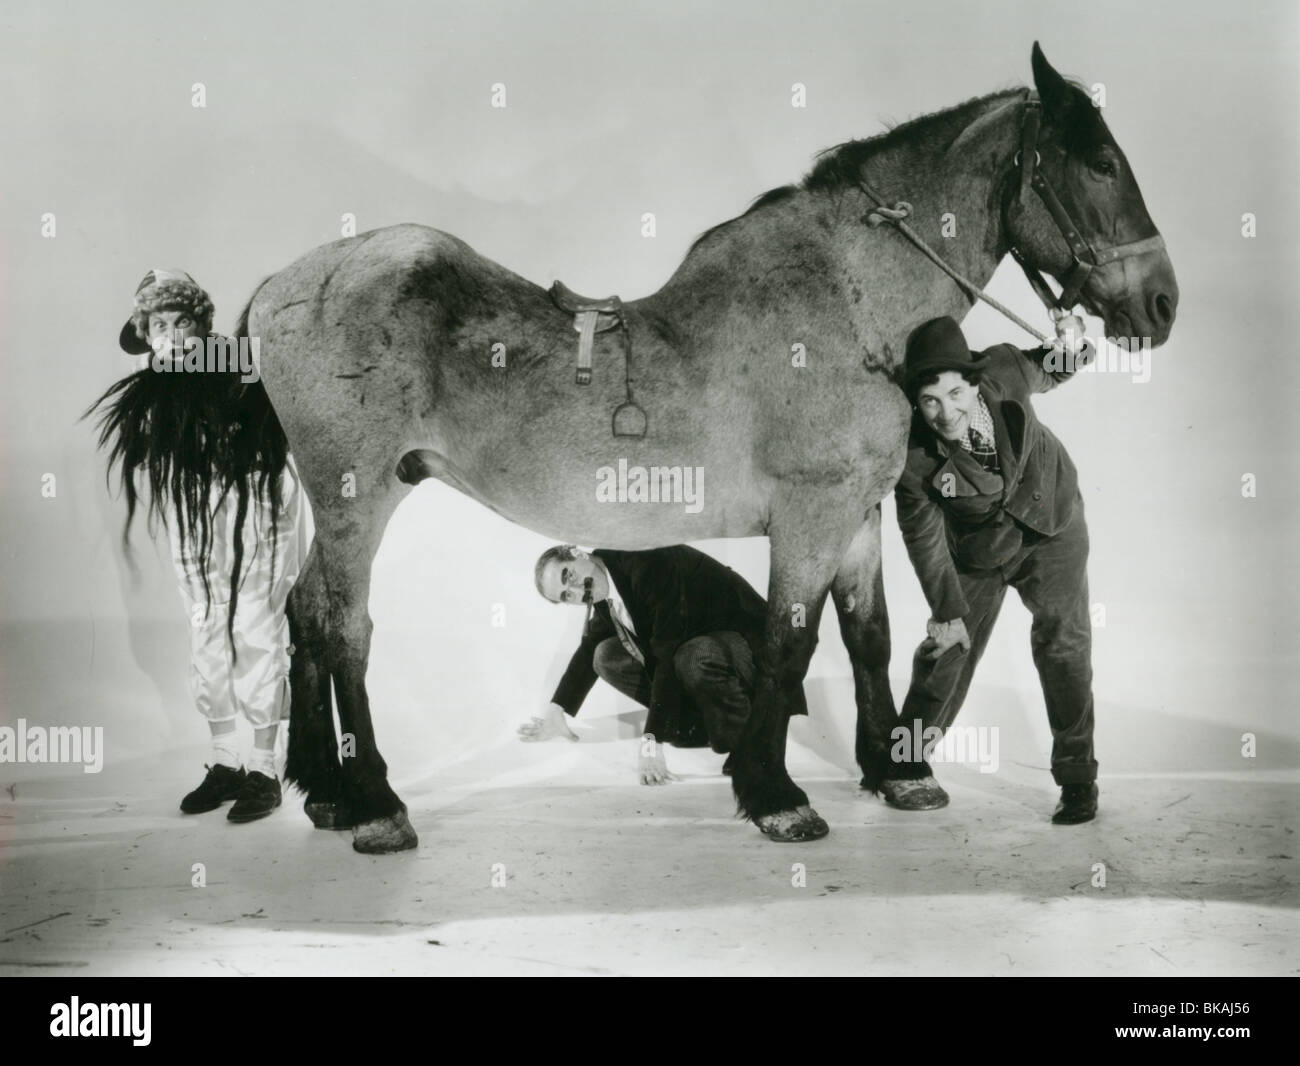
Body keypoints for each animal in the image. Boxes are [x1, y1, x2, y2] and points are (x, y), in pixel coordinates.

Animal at [241, 45, 1180, 852]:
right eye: (1100, 162)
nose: (1162, 303)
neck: (847, 304)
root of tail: (285, 284)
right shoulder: (808, 515)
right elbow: (790, 640)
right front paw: (776, 794)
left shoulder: (857, 514)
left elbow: (868, 636)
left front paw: (891, 774)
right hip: (357, 494)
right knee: (343, 626)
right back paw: (376, 805)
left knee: (303, 612)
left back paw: (325, 793)